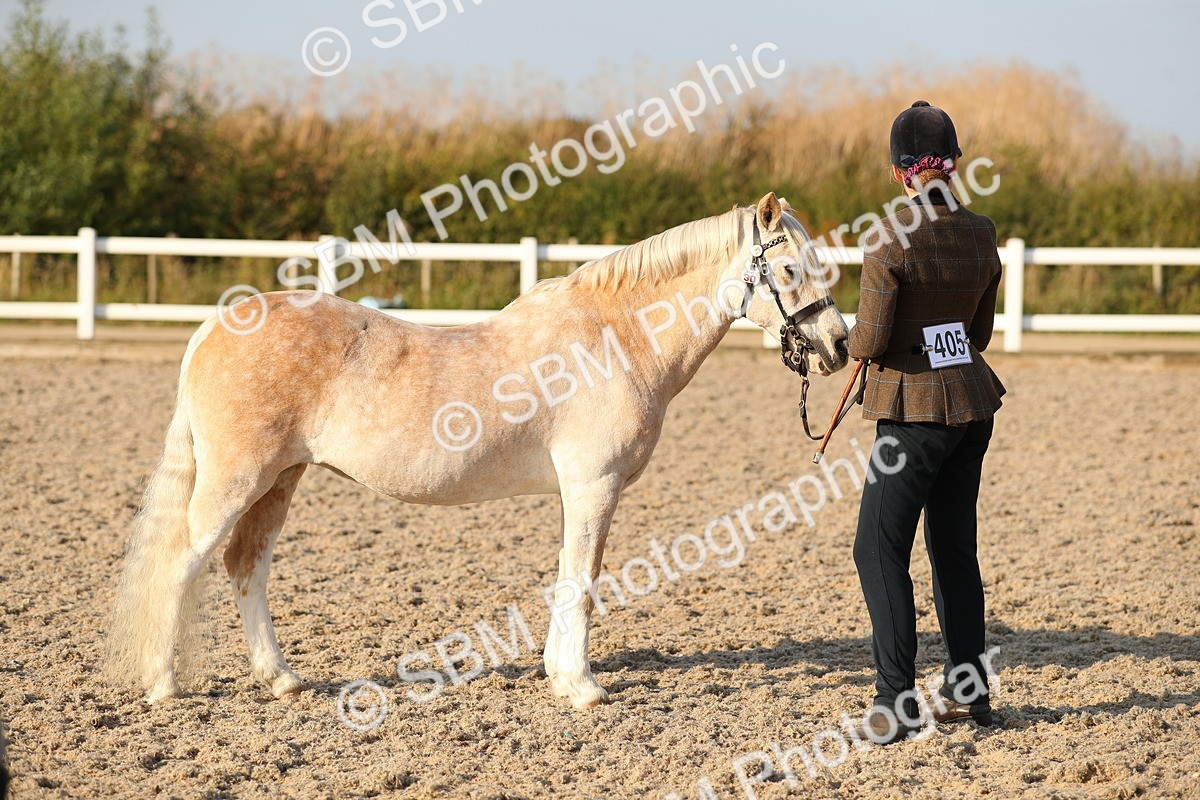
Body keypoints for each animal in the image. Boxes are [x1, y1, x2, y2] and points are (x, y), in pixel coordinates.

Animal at [107, 192, 851, 708]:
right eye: (789, 267)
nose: (839, 344)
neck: (615, 338)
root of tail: (214, 326)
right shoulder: (595, 484)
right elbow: (584, 582)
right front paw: (584, 688)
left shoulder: (578, 491)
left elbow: (565, 578)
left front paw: (558, 676)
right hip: (236, 480)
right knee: (183, 565)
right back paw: (164, 685)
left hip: (281, 478)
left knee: (247, 567)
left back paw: (283, 679)